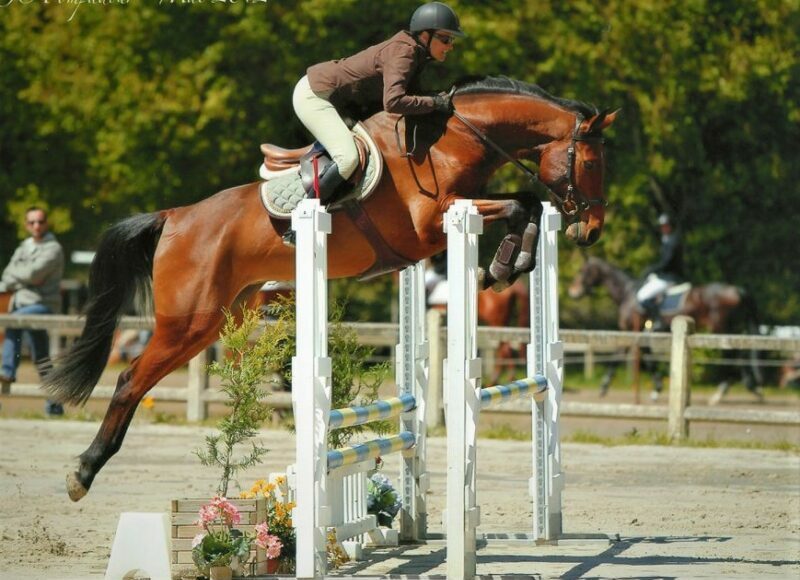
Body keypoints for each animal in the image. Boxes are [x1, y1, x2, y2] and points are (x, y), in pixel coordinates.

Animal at [45, 76, 620, 498]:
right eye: (592, 162)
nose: (591, 231)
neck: (453, 141)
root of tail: (175, 217)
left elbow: (526, 202)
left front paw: (509, 263)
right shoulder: (432, 224)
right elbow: (521, 204)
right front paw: (505, 263)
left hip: (226, 316)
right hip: (188, 323)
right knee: (128, 383)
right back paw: (82, 473)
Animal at [568, 258, 764, 404]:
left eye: (582, 271)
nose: (573, 292)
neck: (627, 293)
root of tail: (736, 290)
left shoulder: (631, 330)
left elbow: (619, 357)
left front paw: (604, 386)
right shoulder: (640, 333)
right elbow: (645, 357)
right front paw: (656, 387)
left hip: (720, 328)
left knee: (732, 353)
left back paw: (722, 392)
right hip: (731, 329)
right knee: (740, 353)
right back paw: (750, 388)